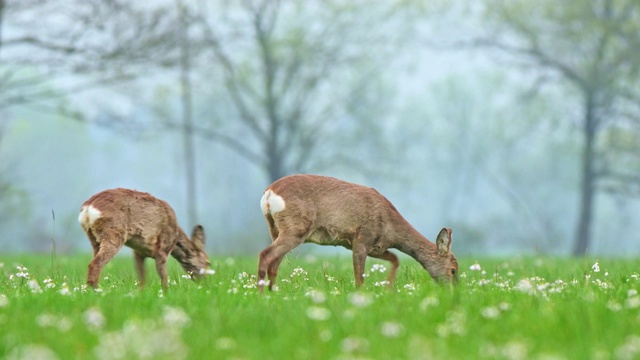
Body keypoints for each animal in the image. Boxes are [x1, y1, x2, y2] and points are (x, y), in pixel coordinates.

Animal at [79, 187, 211, 292]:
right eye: (207, 262)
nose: (205, 284)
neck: (176, 238)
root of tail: (88, 208)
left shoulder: (138, 253)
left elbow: (142, 279)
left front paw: (140, 293)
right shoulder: (162, 250)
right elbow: (164, 278)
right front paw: (165, 294)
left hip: (94, 239)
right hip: (114, 233)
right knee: (95, 264)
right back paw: (97, 291)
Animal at [258, 174, 458, 290]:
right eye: (453, 270)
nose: (454, 291)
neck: (390, 227)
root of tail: (269, 192)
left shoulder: (372, 246)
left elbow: (395, 258)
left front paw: (389, 289)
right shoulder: (362, 239)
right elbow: (359, 278)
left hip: (275, 229)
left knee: (274, 265)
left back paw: (273, 293)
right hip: (296, 228)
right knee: (265, 254)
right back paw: (261, 294)